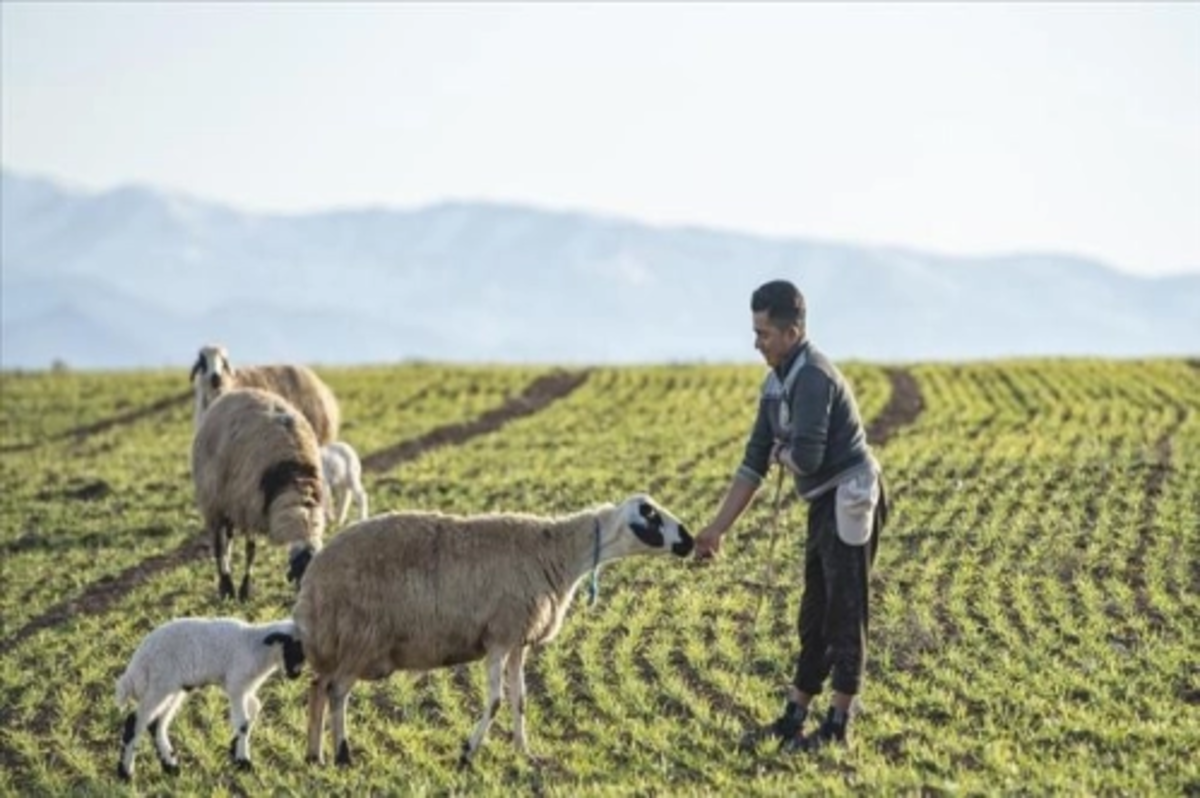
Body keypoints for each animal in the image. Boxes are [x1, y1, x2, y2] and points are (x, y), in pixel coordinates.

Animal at [114, 614, 304, 777]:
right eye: (292, 647)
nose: (295, 675)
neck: (254, 645)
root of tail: (138, 662)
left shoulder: (244, 688)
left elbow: (254, 709)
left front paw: (234, 747)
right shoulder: (237, 684)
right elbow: (243, 722)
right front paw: (243, 761)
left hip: (173, 688)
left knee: (156, 724)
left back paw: (171, 766)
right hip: (159, 684)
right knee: (135, 721)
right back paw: (126, 772)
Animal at [192, 386, 326, 597]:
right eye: (301, 573)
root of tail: (233, 393)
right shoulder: (249, 508)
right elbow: (250, 551)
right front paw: (245, 590)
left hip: (230, 502)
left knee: (227, 540)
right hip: (213, 499)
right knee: (219, 544)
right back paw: (225, 585)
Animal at [291, 492, 700, 768]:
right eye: (650, 515)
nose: (690, 540)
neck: (560, 552)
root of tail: (313, 578)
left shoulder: (519, 640)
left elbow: (520, 699)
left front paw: (525, 752)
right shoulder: (499, 637)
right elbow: (495, 701)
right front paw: (467, 752)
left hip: (336, 645)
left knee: (317, 687)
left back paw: (314, 756)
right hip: (359, 637)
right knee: (337, 692)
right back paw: (343, 755)